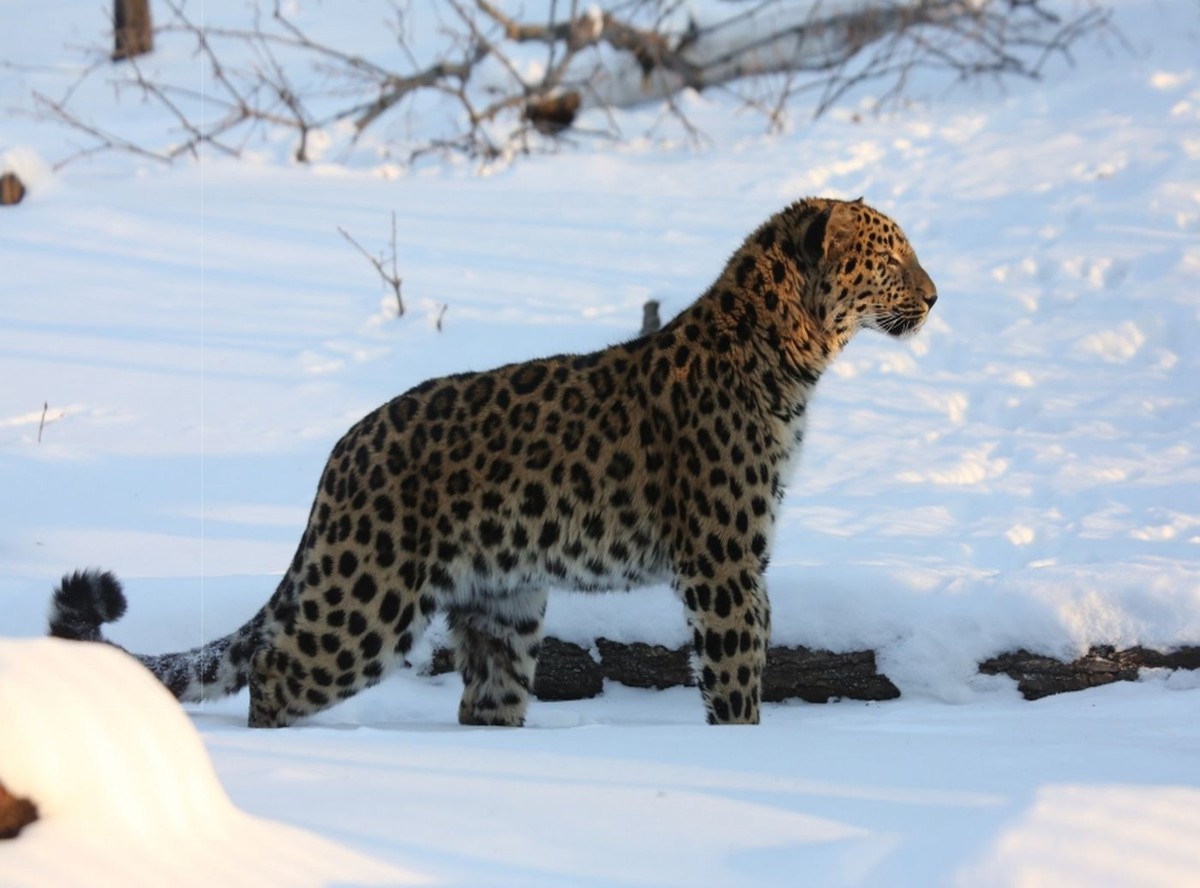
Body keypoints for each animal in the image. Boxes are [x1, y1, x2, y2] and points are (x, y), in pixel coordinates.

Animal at [49, 199, 936, 729]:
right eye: (891, 259)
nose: (934, 297)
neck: (793, 354)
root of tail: (341, 452)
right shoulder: (724, 567)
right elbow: (736, 677)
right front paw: (743, 747)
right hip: (366, 602)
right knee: (274, 671)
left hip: (503, 605)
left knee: (487, 699)